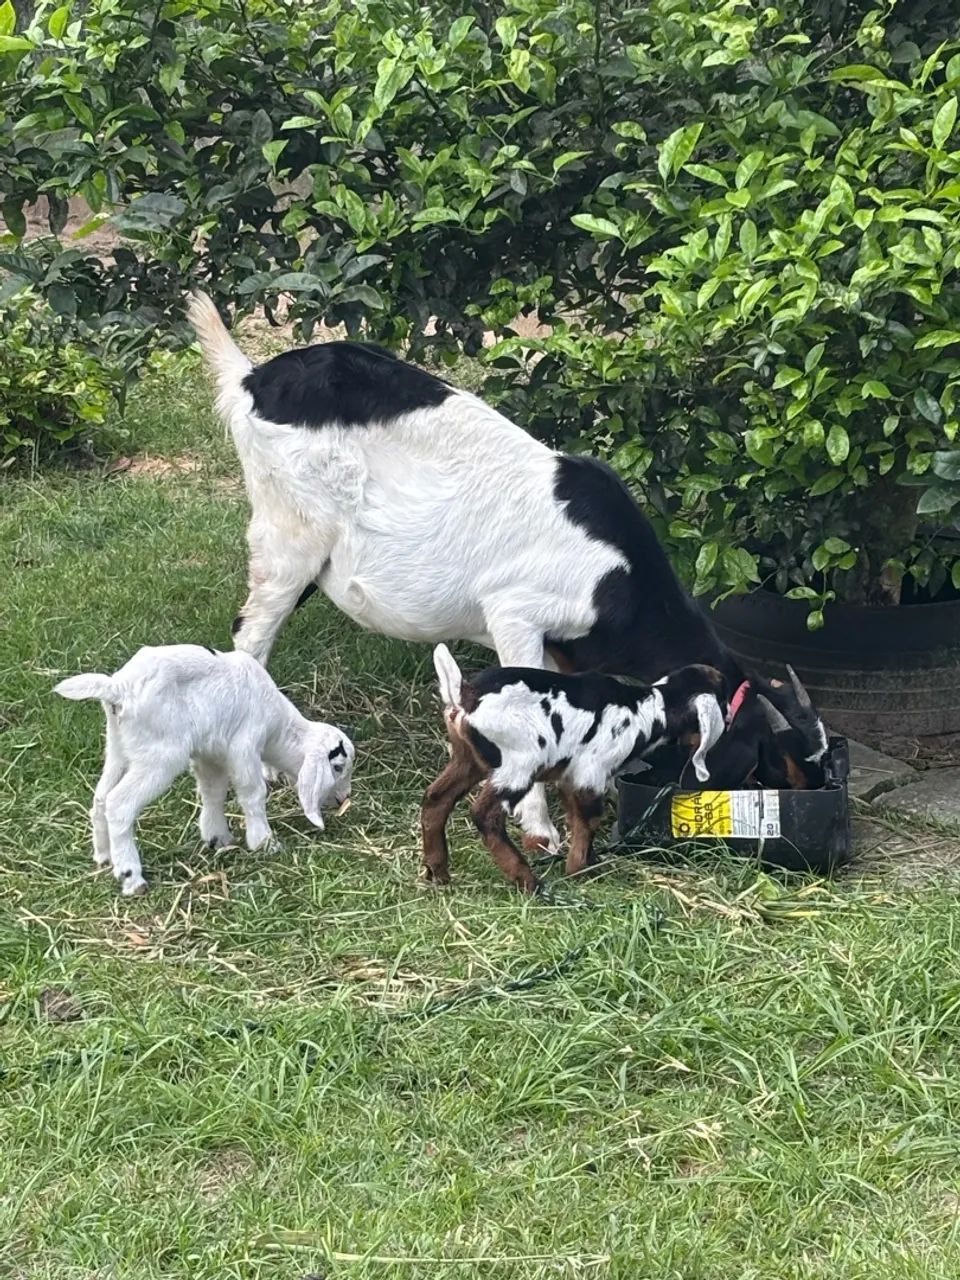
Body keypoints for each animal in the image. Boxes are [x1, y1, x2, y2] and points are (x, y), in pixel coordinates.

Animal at [55, 644, 354, 895]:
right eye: (338, 767)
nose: (343, 799)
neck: (279, 728)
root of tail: (118, 687)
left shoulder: (210, 754)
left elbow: (213, 792)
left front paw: (217, 837)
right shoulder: (244, 745)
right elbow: (253, 793)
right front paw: (264, 842)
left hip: (119, 749)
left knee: (101, 798)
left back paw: (104, 857)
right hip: (160, 755)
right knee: (119, 804)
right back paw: (131, 877)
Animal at [186, 292, 828, 852]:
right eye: (775, 755)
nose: (816, 794)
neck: (618, 585)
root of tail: (250, 380)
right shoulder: (516, 613)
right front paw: (540, 829)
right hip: (289, 538)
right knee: (252, 635)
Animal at [420, 644, 728, 892]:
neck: (651, 708)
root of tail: (466, 696)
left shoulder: (568, 776)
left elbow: (576, 817)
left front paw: (587, 863)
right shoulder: (591, 772)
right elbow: (590, 820)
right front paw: (580, 870)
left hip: (467, 760)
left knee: (436, 799)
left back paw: (438, 872)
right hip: (519, 765)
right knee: (486, 815)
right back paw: (527, 881)